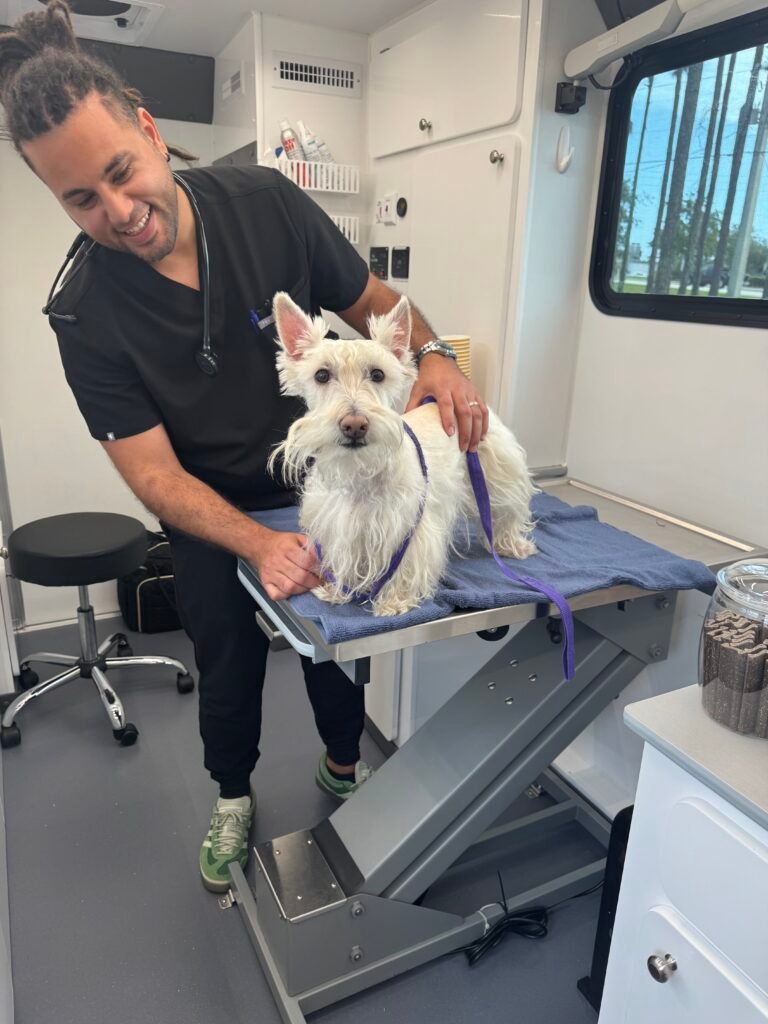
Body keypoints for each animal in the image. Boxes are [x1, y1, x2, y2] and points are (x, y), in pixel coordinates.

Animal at [269, 293, 537, 617]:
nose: (354, 425)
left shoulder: (408, 528)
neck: (360, 472)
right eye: (321, 375)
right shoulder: (339, 525)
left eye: (377, 374)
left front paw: (394, 601)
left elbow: (405, 566)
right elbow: (342, 556)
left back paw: (512, 544)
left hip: (498, 474)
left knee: (507, 513)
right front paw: (337, 590)